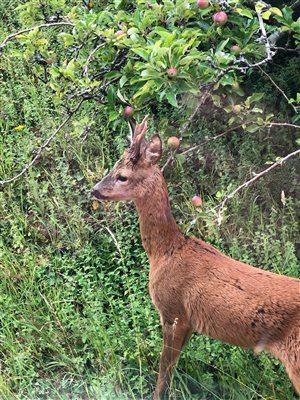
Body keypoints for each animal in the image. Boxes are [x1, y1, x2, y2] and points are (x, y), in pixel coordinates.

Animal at [91, 115, 300, 396]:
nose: (94, 189)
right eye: (113, 166)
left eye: (122, 176)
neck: (166, 250)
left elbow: (164, 373)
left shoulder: (173, 311)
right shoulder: (188, 322)